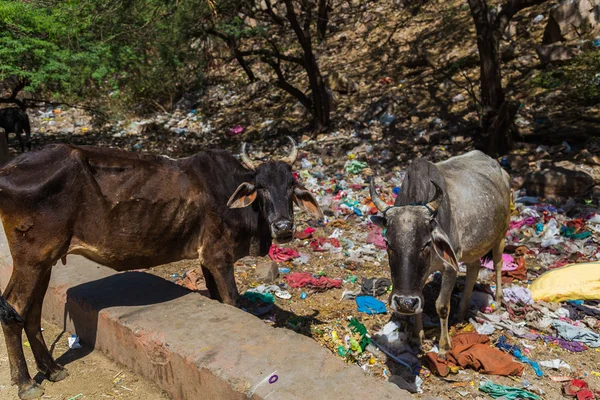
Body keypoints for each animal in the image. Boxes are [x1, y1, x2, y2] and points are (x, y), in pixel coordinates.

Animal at [0, 137, 322, 396]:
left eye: (291, 186)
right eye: (262, 188)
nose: (284, 227)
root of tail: (8, 169)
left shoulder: (206, 260)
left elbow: (217, 298)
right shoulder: (219, 257)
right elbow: (232, 301)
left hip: (44, 261)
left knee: (31, 313)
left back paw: (52, 370)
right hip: (32, 259)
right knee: (13, 309)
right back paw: (26, 383)